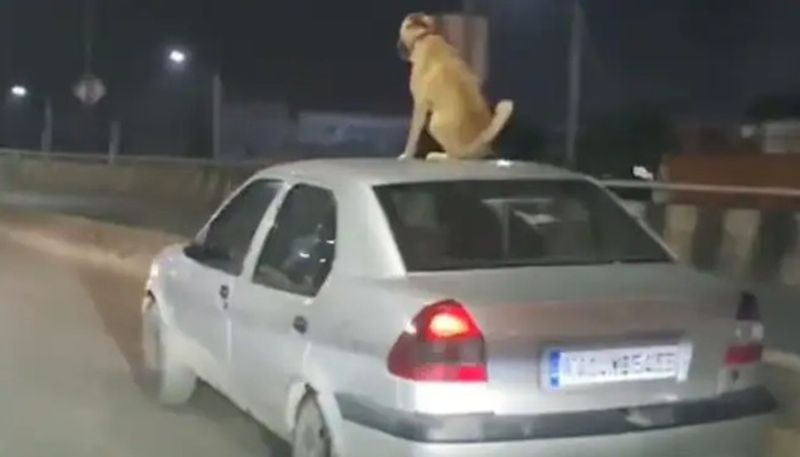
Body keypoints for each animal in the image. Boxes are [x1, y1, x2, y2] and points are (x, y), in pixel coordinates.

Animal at [396, 12, 516, 161]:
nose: (397, 46)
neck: (424, 36)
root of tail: (480, 144)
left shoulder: (420, 106)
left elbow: (413, 135)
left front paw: (407, 154)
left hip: (435, 124)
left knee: (455, 156)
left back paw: (438, 156)